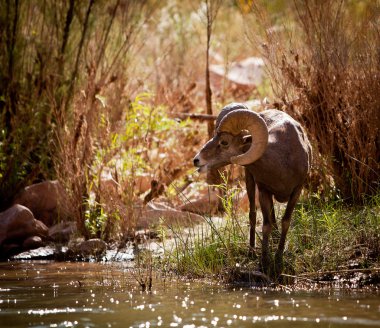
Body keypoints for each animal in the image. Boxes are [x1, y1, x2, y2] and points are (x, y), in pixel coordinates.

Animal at [193, 103, 312, 276]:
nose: (196, 160)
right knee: (254, 214)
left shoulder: (297, 190)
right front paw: (264, 263)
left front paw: (278, 259)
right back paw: (252, 252)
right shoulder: (263, 191)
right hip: (250, 182)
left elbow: (285, 222)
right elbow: (265, 225)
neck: (283, 161)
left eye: (224, 142)